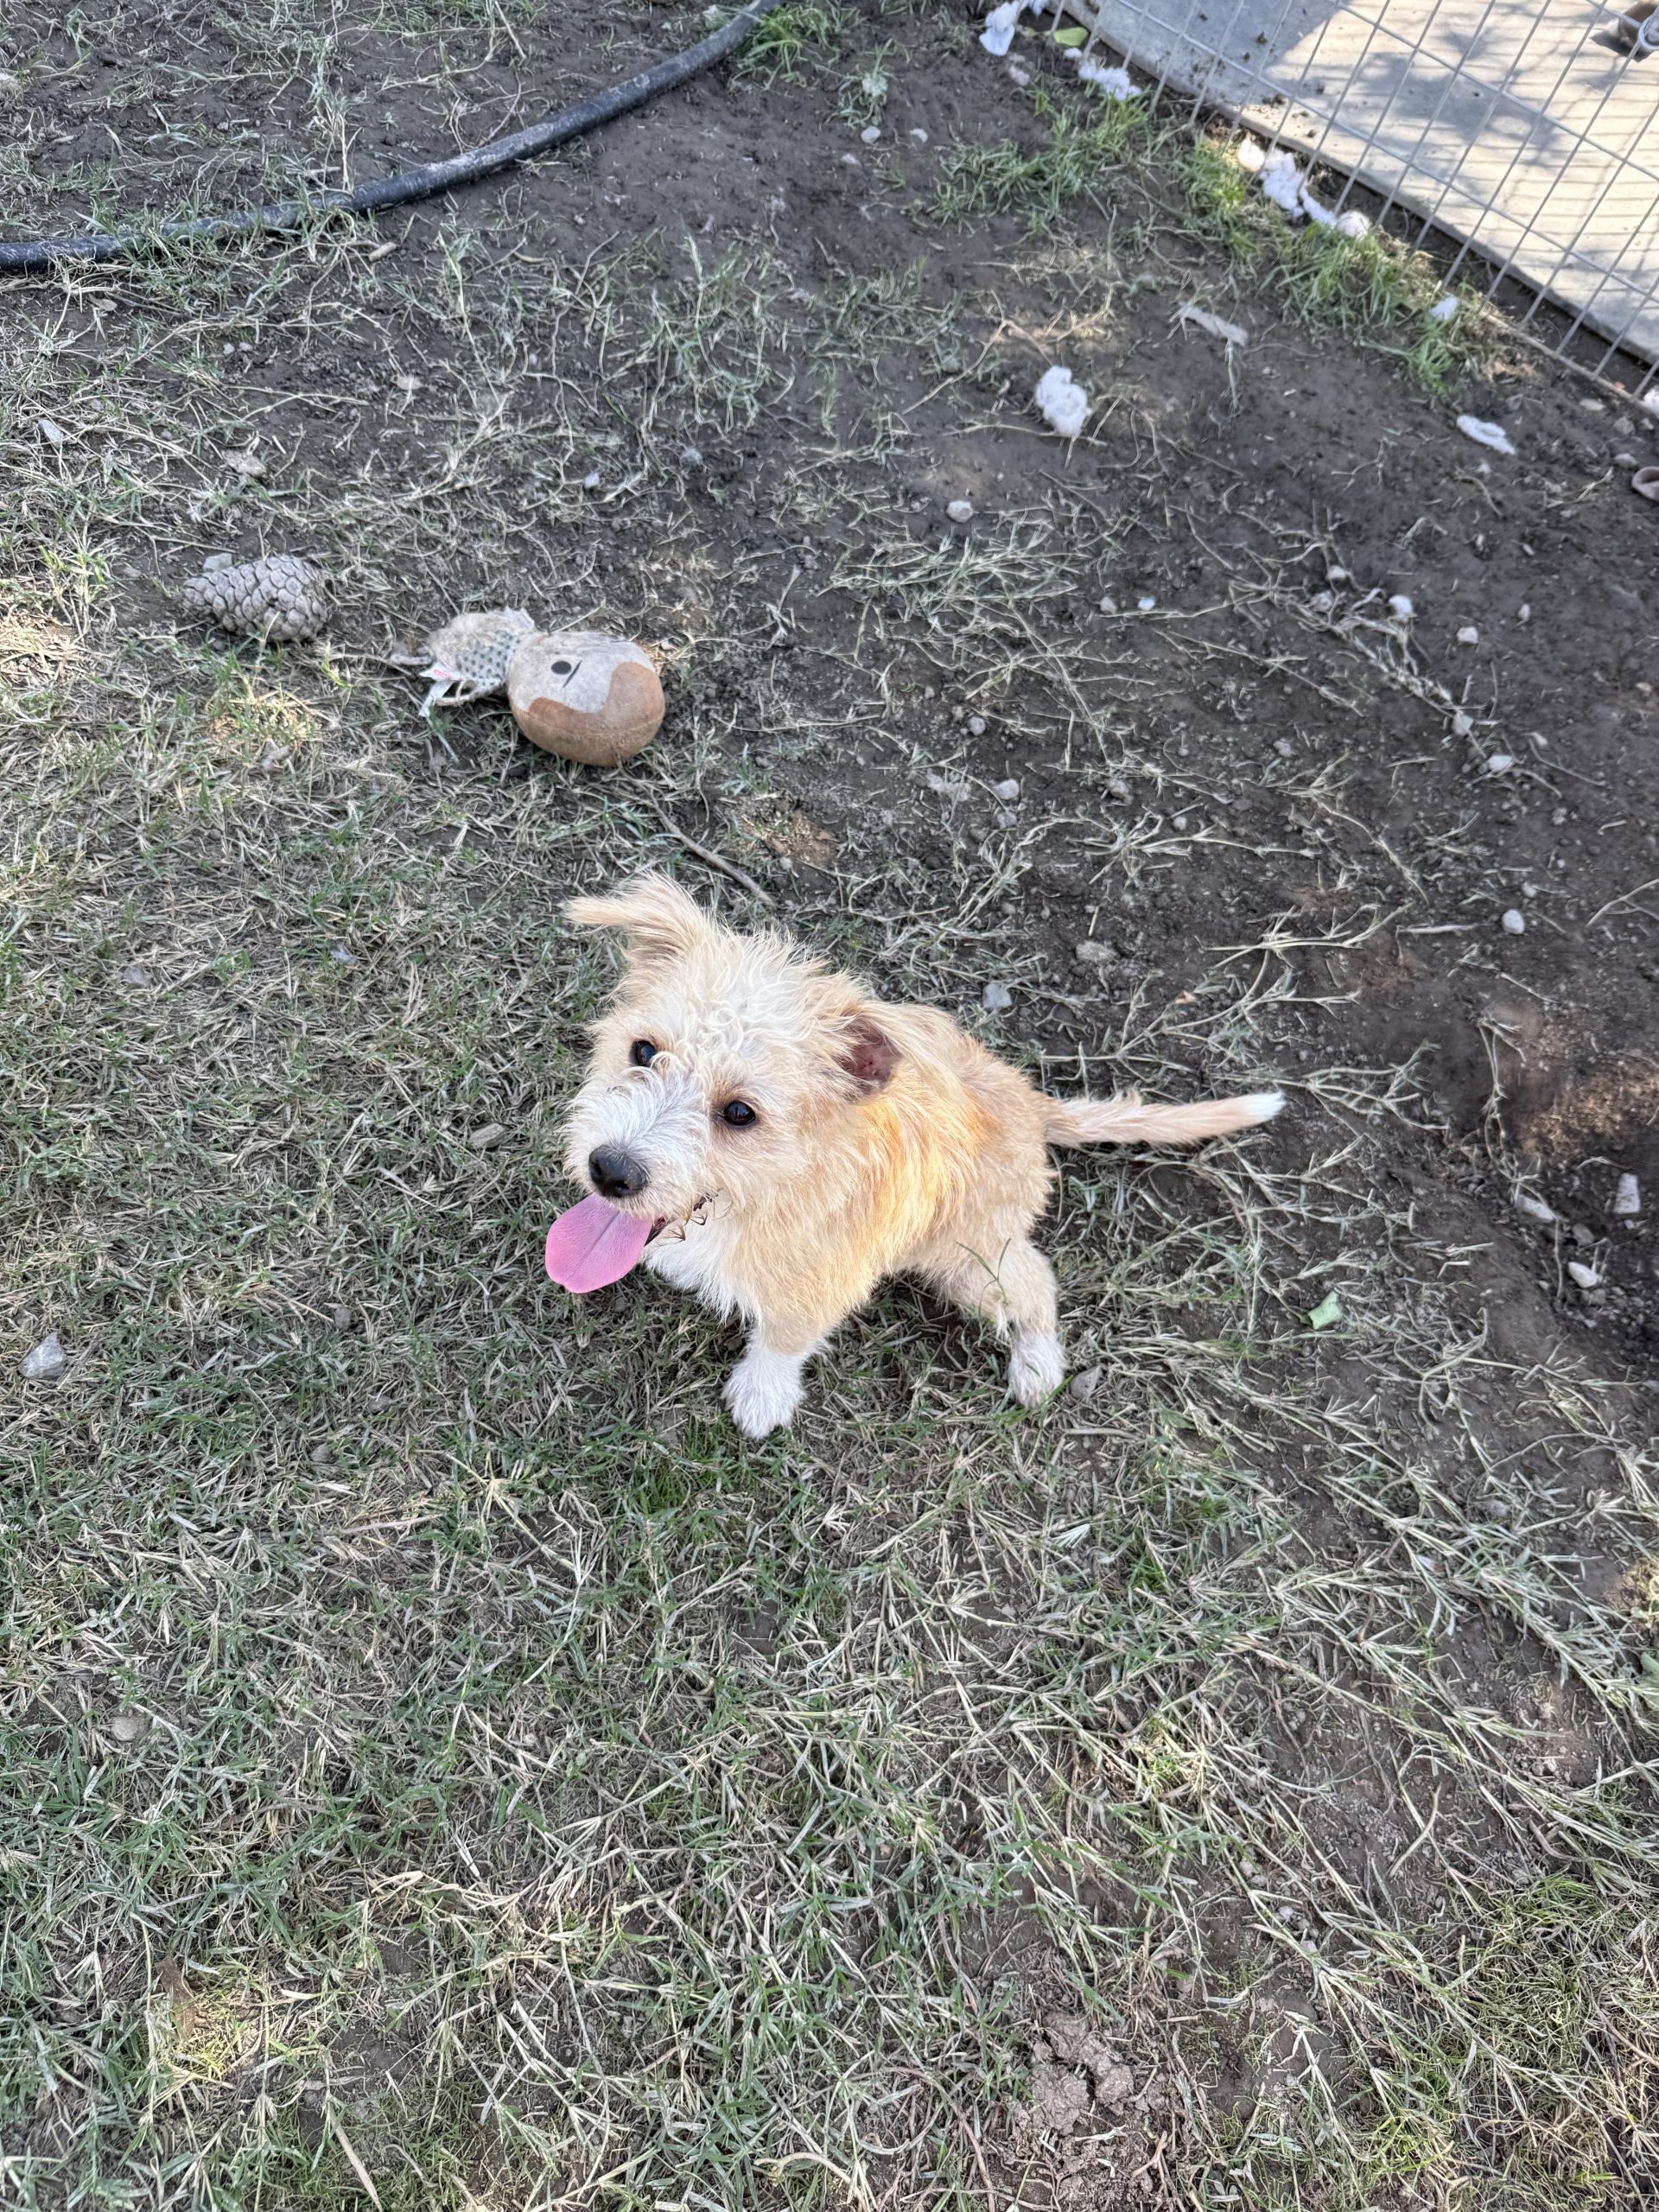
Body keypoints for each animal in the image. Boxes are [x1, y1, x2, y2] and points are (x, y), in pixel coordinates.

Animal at [545, 873, 1282, 1437]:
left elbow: (785, 1337)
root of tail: (1035, 1107)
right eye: (643, 1050)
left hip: (969, 1263)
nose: (609, 1172)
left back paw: (1037, 1365)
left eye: (740, 1114)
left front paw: (762, 1395)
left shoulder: (824, 1279)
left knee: (1036, 1281)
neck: (764, 1198)